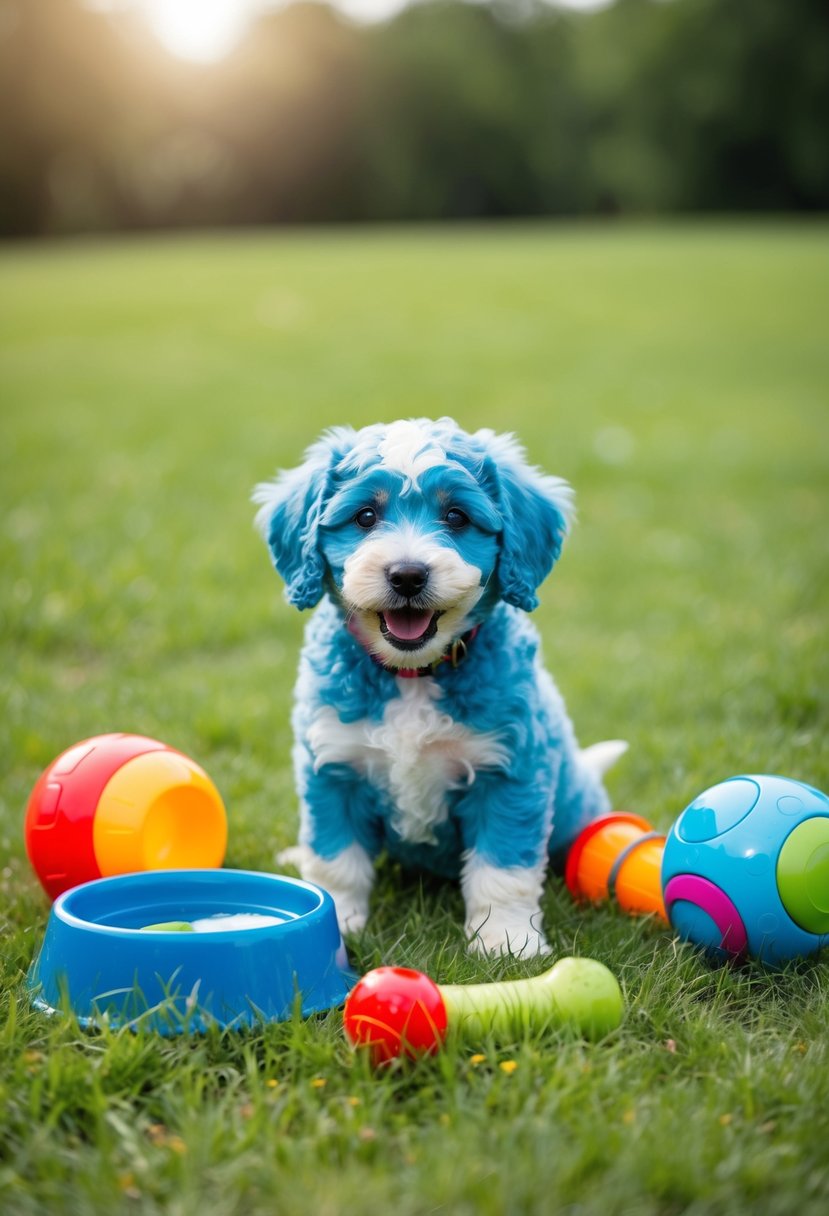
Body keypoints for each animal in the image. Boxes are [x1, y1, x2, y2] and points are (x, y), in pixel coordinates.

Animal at [251, 420, 619, 958]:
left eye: (456, 516)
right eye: (365, 516)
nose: (407, 574)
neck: (411, 676)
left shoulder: (508, 774)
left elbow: (503, 868)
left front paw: (506, 941)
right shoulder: (333, 768)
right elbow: (337, 860)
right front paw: (340, 921)